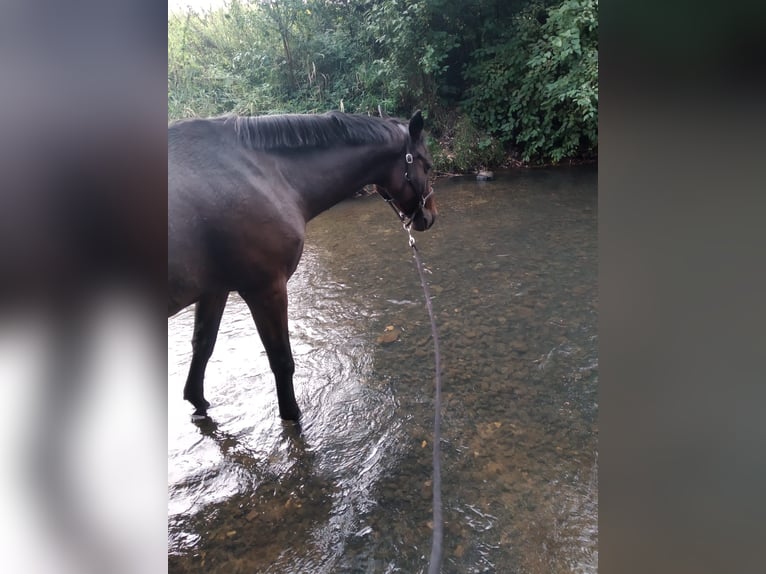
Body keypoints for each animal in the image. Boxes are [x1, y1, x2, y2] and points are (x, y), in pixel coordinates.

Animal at [168, 110, 437, 421]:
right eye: (427, 165)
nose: (430, 216)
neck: (269, 177)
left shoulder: (215, 289)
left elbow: (203, 344)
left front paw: (197, 401)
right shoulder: (266, 290)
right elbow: (282, 361)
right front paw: (291, 415)